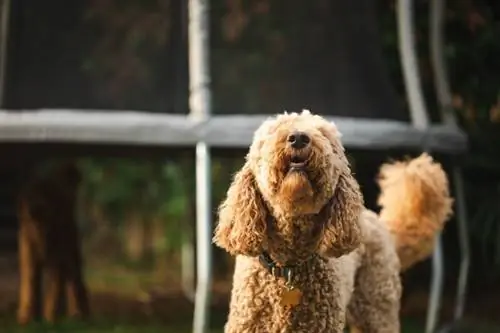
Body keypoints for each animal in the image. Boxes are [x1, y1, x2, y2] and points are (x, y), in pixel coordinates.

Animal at [214, 110, 454, 330]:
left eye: (323, 134)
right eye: (273, 131)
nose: (298, 137)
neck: (288, 265)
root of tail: (378, 221)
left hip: (377, 308)